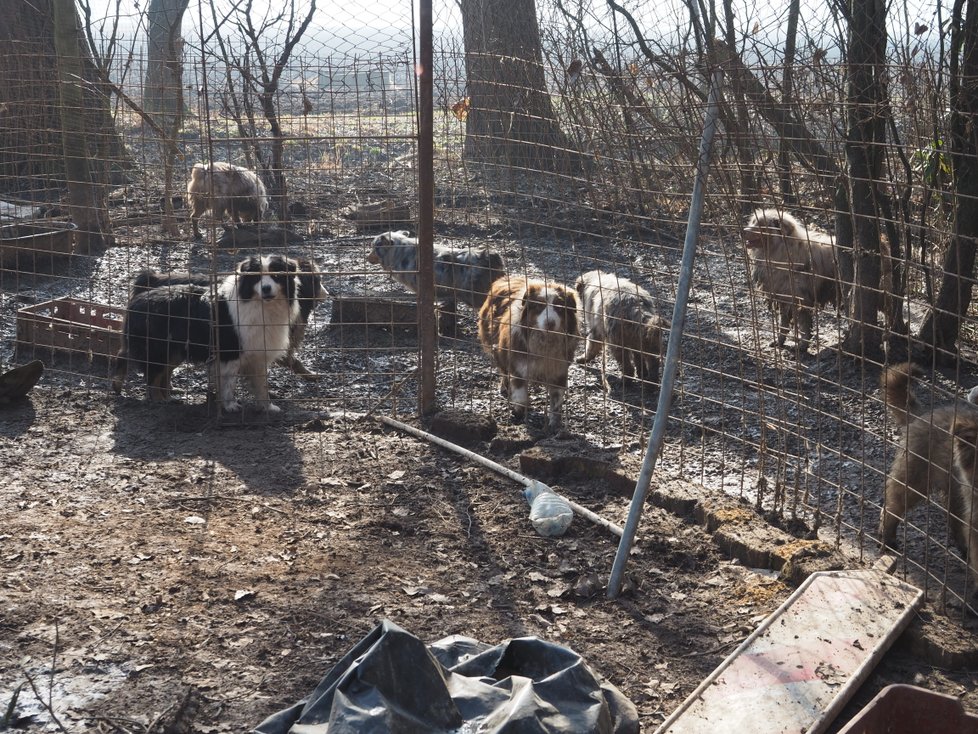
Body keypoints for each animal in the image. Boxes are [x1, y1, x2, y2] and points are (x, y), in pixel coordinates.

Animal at [109, 256, 304, 412]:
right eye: (256, 277)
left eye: (277, 275)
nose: (266, 289)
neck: (260, 305)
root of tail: (136, 299)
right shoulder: (230, 352)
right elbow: (229, 383)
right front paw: (230, 406)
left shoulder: (258, 353)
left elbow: (262, 384)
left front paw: (268, 407)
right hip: (158, 349)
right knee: (150, 375)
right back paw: (157, 400)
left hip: (175, 351)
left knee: (162, 372)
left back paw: (167, 397)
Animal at [474, 278, 576, 434]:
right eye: (539, 306)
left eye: (559, 308)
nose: (550, 323)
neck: (544, 341)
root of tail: (503, 279)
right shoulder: (519, 364)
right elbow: (520, 395)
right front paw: (519, 413)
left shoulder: (559, 368)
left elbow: (556, 400)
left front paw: (554, 424)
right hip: (496, 347)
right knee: (504, 370)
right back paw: (505, 387)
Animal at [740, 208, 840, 356]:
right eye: (752, 222)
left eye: (761, 225)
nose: (742, 231)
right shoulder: (783, 298)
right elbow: (783, 324)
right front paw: (779, 341)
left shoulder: (800, 300)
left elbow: (804, 327)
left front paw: (802, 346)